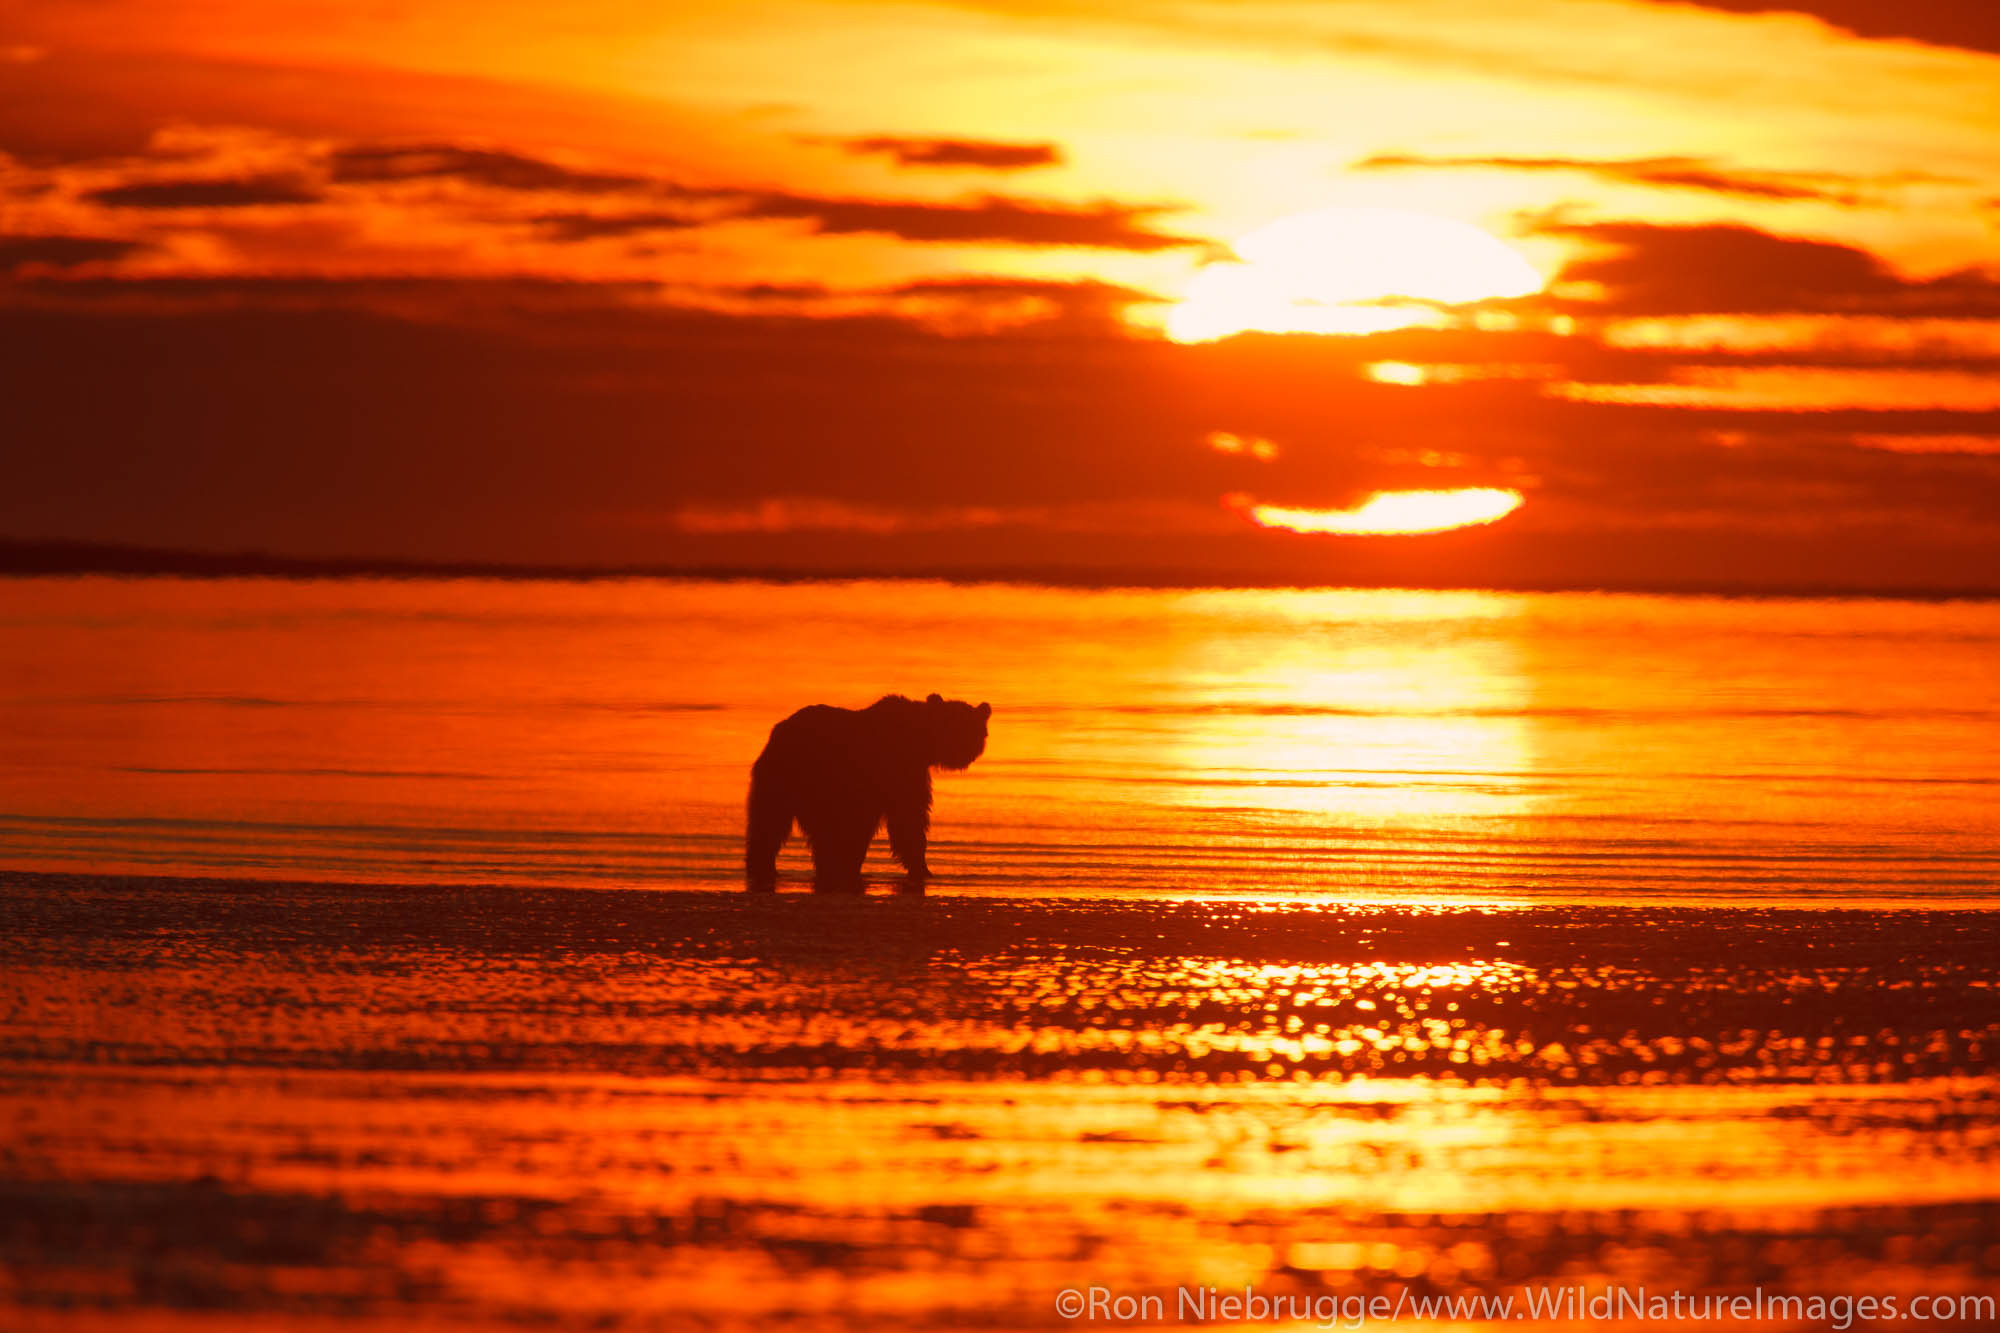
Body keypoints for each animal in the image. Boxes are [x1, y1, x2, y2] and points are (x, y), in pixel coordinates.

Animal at [748, 688, 988, 888]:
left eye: (972, 729)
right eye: (955, 726)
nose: (964, 750)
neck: (921, 743)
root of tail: (778, 731)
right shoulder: (895, 772)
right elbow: (907, 818)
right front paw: (922, 868)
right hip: (797, 774)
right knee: (776, 821)